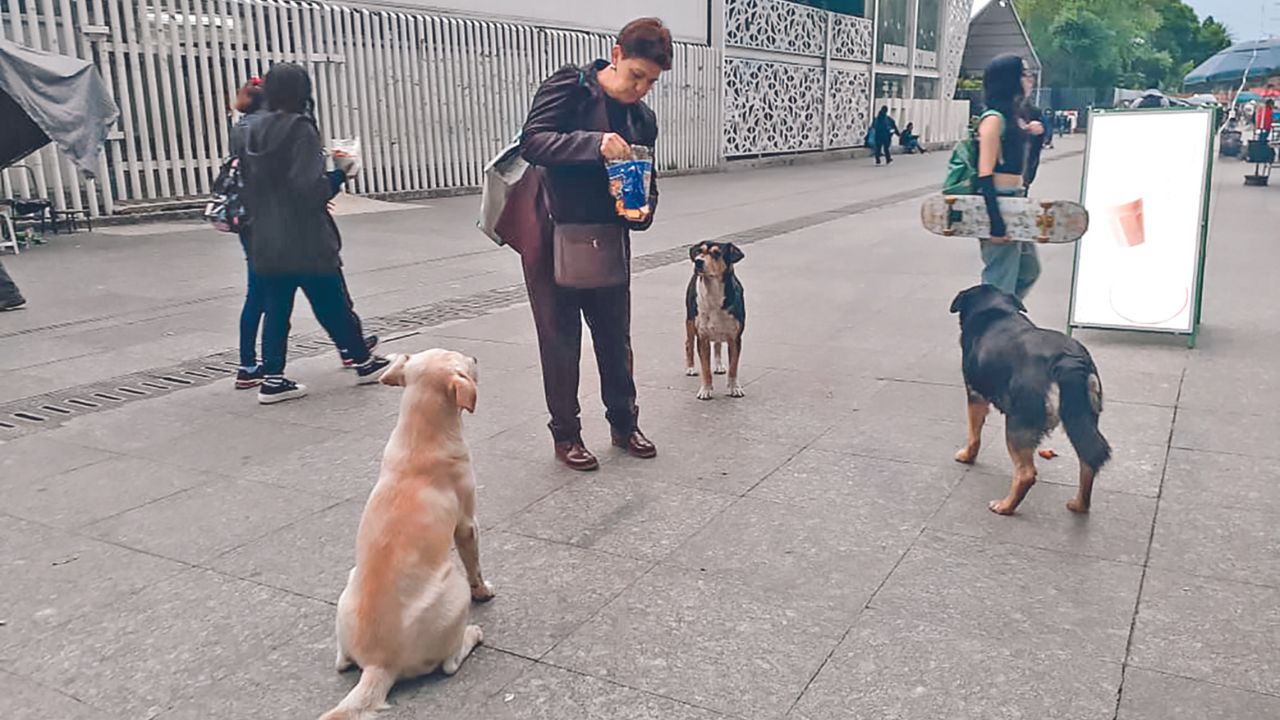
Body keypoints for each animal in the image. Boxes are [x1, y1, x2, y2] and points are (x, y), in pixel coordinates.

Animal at [320, 345, 494, 712]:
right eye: (462, 359)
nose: (475, 356)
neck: (420, 434)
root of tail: (379, 665)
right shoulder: (467, 523)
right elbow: (474, 563)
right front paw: (484, 591)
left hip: (348, 586)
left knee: (342, 661)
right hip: (453, 588)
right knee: (448, 663)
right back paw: (472, 634)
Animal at [686, 240, 747, 397]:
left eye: (717, 253)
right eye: (699, 251)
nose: (698, 261)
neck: (713, 294)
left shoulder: (735, 338)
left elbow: (733, 367)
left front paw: (734, 388)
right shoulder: (702, 337)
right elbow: (705, 368)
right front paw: (705, 390)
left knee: (718, 344)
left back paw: (719, 365)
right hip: (690, 320)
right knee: (688, 343)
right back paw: (690, 368)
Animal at [952, 283, 1111, 512]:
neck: (996, 310)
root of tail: (1067, 361)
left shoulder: (975, 396)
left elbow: (974, 435)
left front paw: (967, 456)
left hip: (1018, 424)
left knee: (1026, 474)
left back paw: (1005, 506)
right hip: (1082, 419)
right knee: (1087, 461)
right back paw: (1079, 505)